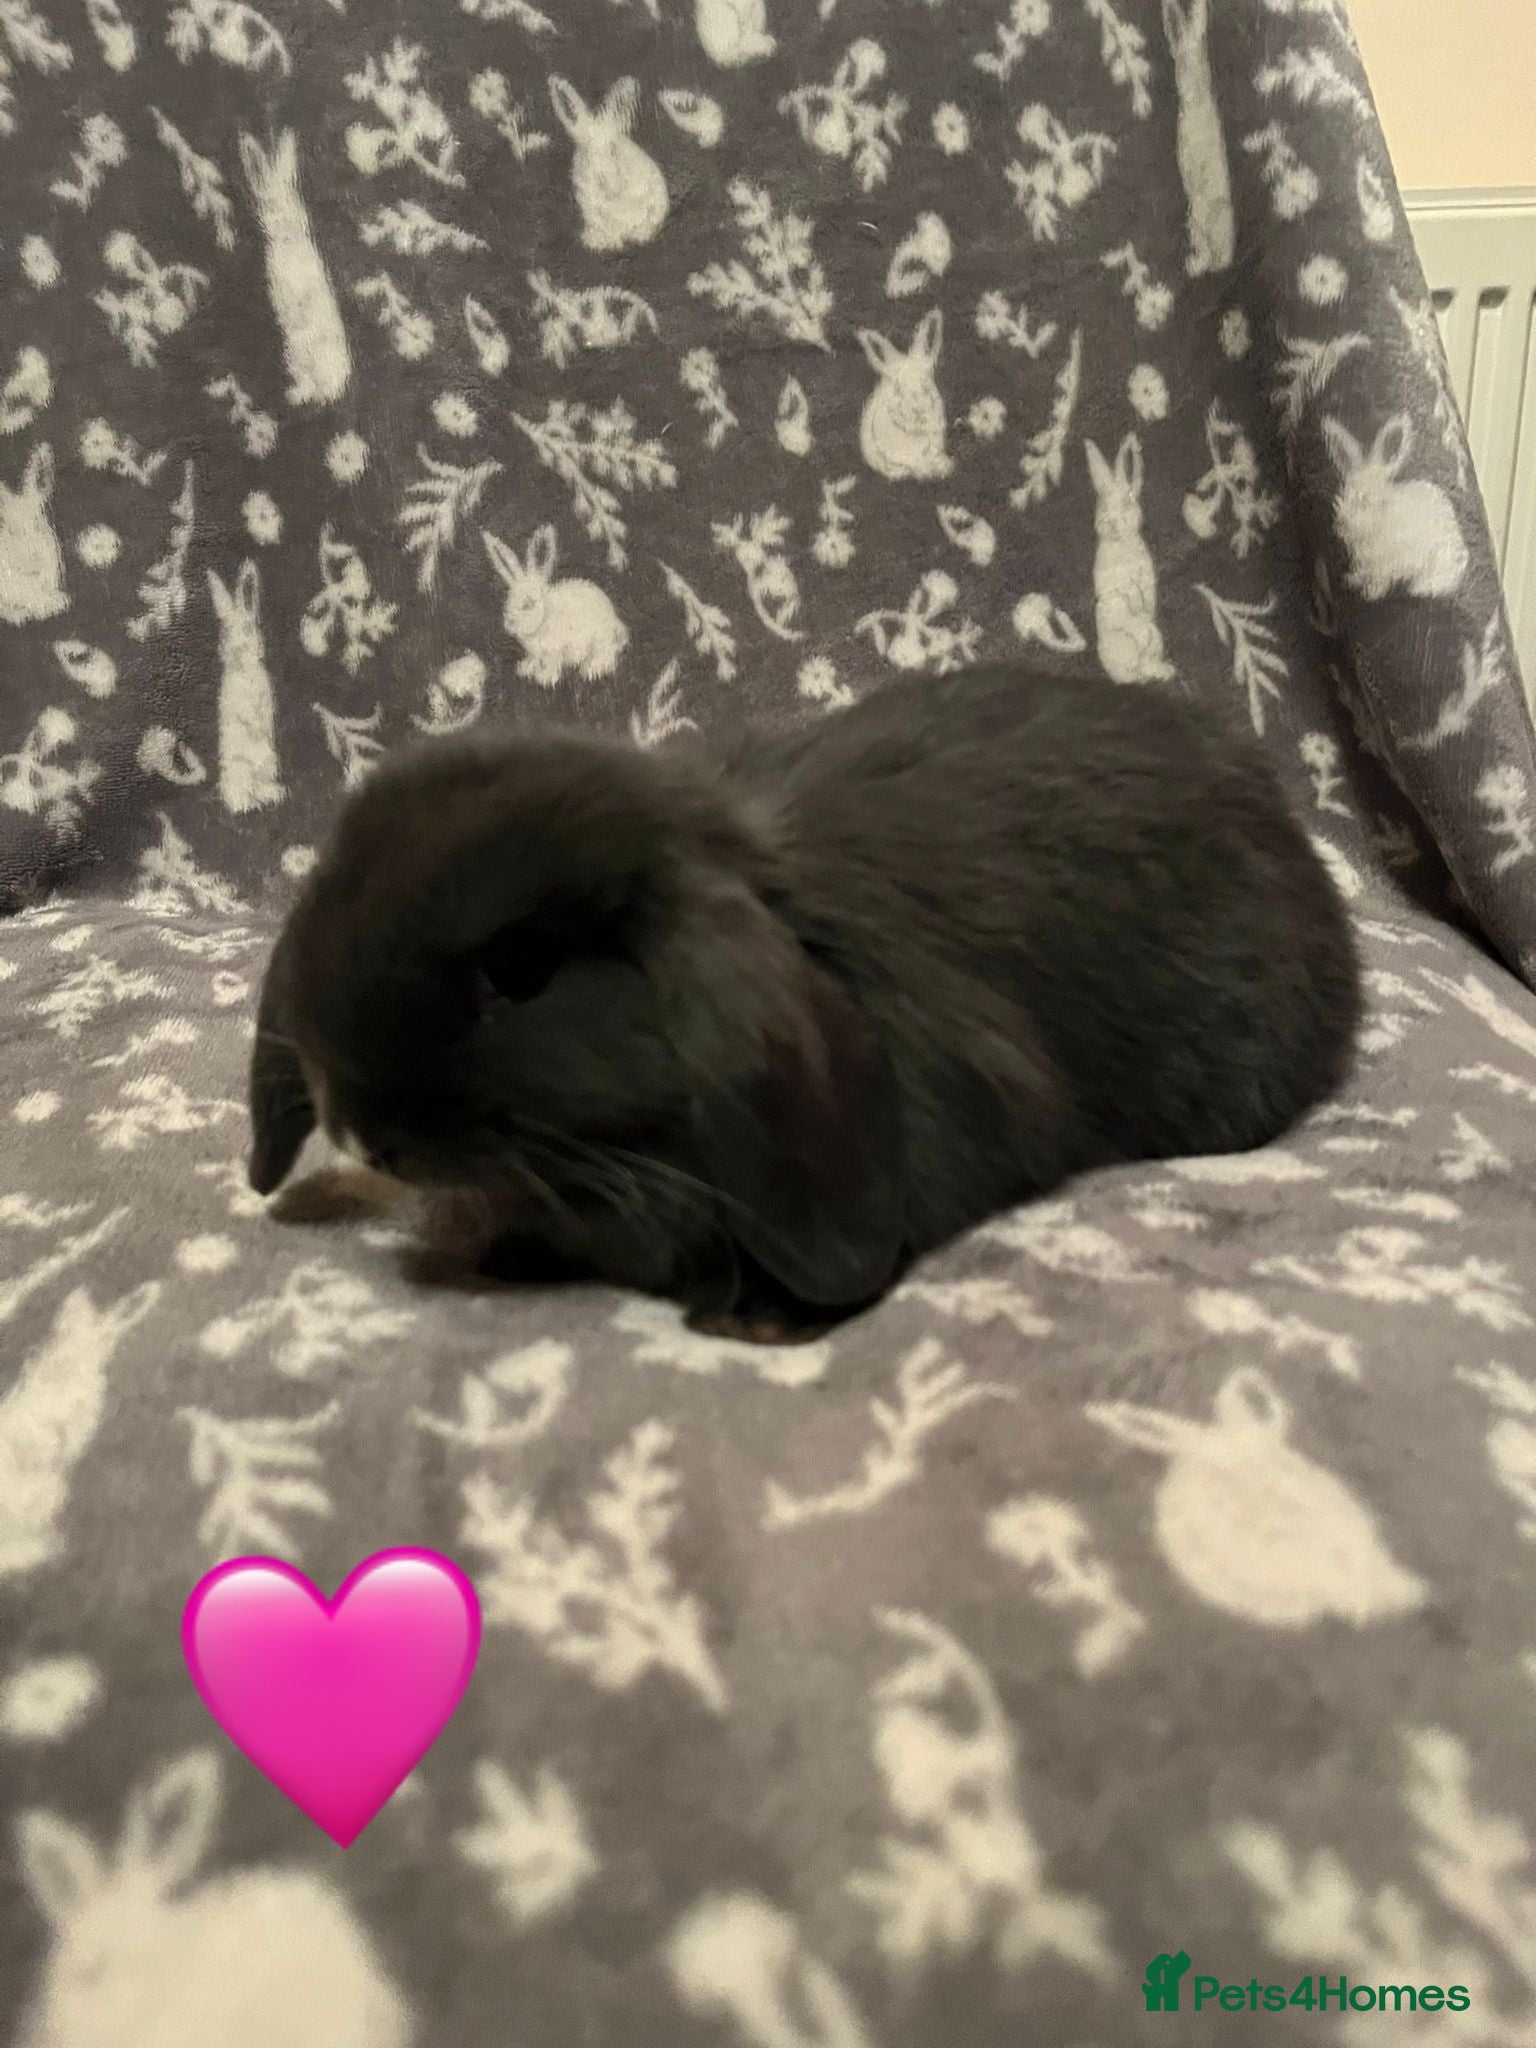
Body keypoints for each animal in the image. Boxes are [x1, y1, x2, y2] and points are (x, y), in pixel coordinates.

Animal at [208, 559, 283, 814]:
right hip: (241, 771)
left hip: (268, 765)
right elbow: (243, 715)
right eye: (224, 633)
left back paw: (271, 796)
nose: (235, 650)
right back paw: (245, 805)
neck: (244, 670)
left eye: (250, 629)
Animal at [482, 524, 629, 689]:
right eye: (508, 601)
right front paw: (524, 669)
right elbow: (534, 659)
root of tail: (615, 622)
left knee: (607, 658)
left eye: (528, 604)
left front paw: (545, 679)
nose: (509, 623)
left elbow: (552, 663)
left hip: (600, 641)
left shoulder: (554, 650)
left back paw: (590, 670)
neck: (543, 619)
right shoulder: (535, 653)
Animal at [1084, 433, 1176, 684]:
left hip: (1155, 638)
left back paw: (1165, 670)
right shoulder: (1119, 584)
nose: (1112, 522)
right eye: (1102, 508)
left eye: (1128, 502)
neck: (1122, 540)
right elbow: (1127, 593)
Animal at [1321, 413, 1470, 601]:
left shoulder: (1389, 562)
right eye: (1345, 499)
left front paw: (1372, 593)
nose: (1344, 524)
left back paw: (1420, 588)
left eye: (1379, 503)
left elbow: (1381, 579)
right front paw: (1353, 580)